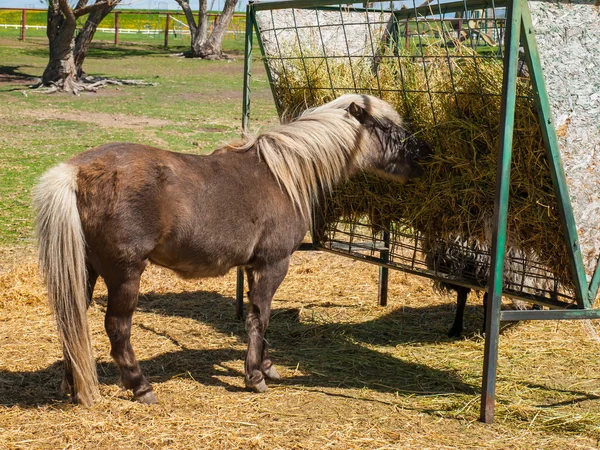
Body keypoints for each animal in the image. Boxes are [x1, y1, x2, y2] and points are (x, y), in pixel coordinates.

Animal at [34, 94, 432, 404]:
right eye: (389, 127)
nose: (425, 156)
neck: (284, 174)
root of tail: (76, 172)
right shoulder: (273, 264)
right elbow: (260, 318)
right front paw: (254, 376)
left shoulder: (252, 267)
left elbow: (261, 317)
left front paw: (267, 366)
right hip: (124, 274)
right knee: (117, 328)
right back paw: (140, 386)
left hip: (85, 269)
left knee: (71, 320)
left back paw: (75, 385)